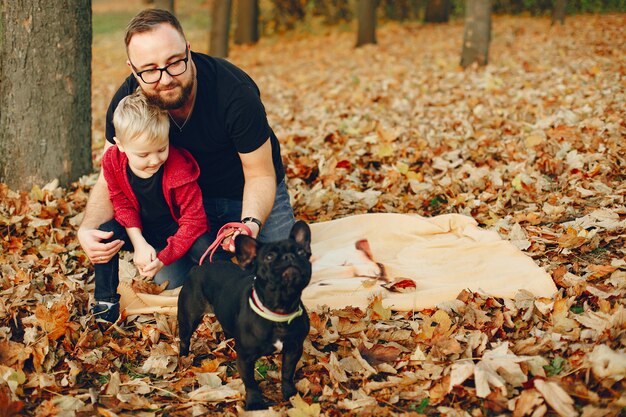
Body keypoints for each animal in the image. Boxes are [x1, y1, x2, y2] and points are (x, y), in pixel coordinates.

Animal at [177, 221, 310, 410]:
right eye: (269, 257)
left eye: (301, 252)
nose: (289, 257)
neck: (279, 311)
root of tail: (197, 268)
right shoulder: (246, 359)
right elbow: (251, 383)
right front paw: (255, 403)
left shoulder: (293, 349)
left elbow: (287, 373)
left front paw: (290, 394)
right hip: (188, 318)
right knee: (184, 339)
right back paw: (184, 359)